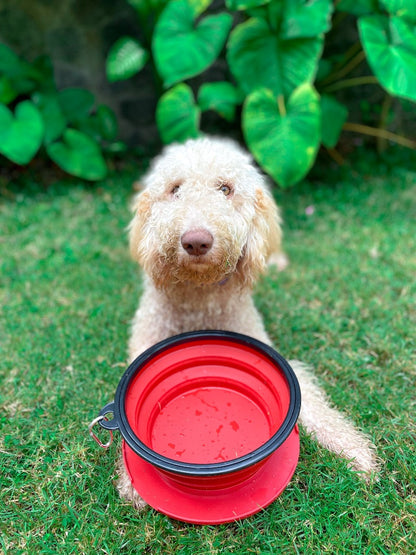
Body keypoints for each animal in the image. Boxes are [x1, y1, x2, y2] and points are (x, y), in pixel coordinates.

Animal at [118, 137, 380, 506]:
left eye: (225, 189)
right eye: (175, 189)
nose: (196, 241)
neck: (200, 298)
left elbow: (314, 404)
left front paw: (352, 450)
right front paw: (131, 479)